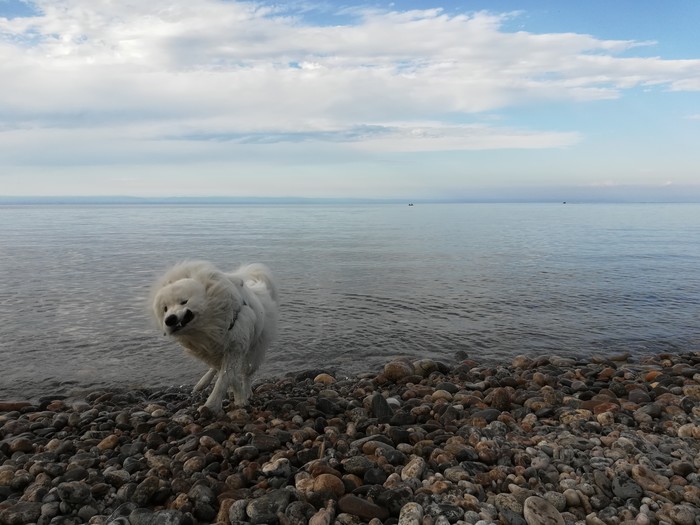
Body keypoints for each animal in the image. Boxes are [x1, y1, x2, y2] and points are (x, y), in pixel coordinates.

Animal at [151, 260, 278, 414]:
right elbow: (228, 375)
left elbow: (225, 378)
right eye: (165, 308)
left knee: (246, 374)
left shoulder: (234, 348)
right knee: (215, 367)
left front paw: (212, 405)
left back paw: (247, 391)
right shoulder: (210, 348)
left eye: (184, 301)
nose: (169, 319)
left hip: (255, 352)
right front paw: (238, 397)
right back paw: (202, 383)